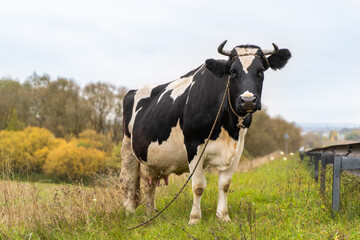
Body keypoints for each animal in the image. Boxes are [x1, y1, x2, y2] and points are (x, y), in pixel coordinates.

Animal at [119, 39, 292, 225]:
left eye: (260, 71)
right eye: (233, 72)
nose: (247, 101)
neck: (228, 125)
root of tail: (134, 91)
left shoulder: (238, 148)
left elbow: (225, 184)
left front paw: (223, 216)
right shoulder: (193, 146)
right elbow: (198, 186)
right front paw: (194, 219)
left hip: (150, 158)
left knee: (148, 185)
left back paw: (150, 215)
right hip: (127, 148)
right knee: (128, 181)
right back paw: (129, 214)